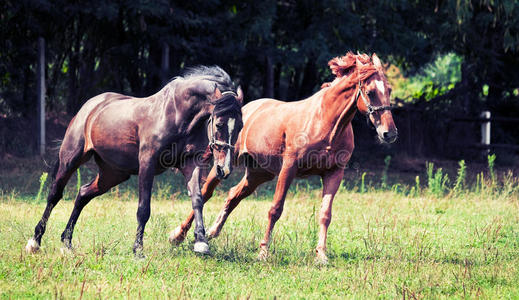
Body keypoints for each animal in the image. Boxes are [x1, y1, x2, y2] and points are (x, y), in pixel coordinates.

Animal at [24, 65, 244, 255]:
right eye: (219, 124)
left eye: (240, 126)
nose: (224, 169)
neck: (176, 114)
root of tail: (90, 106)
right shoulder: (147, 163)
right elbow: (143, 209)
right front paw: (138, 250)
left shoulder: (190, 164)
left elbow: (197, 199)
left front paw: (201, 242)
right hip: (71, 159)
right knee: (54, 195)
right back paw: (35, 242)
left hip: (113, 174)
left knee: (83, 194)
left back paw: (67, 242)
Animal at [171, 53, 398, 262]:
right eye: (370, 92)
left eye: (388, 90)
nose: (390, 133)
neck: (325, 122)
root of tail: (244, 108)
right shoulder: (289, 168)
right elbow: (275, 209)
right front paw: (263, 252)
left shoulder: (334, 173)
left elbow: (325, 214)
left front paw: (321, 255)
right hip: (227, 164)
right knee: (205, 192)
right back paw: (179, 236)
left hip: (259, 174)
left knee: (233, 195)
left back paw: (212, 231)